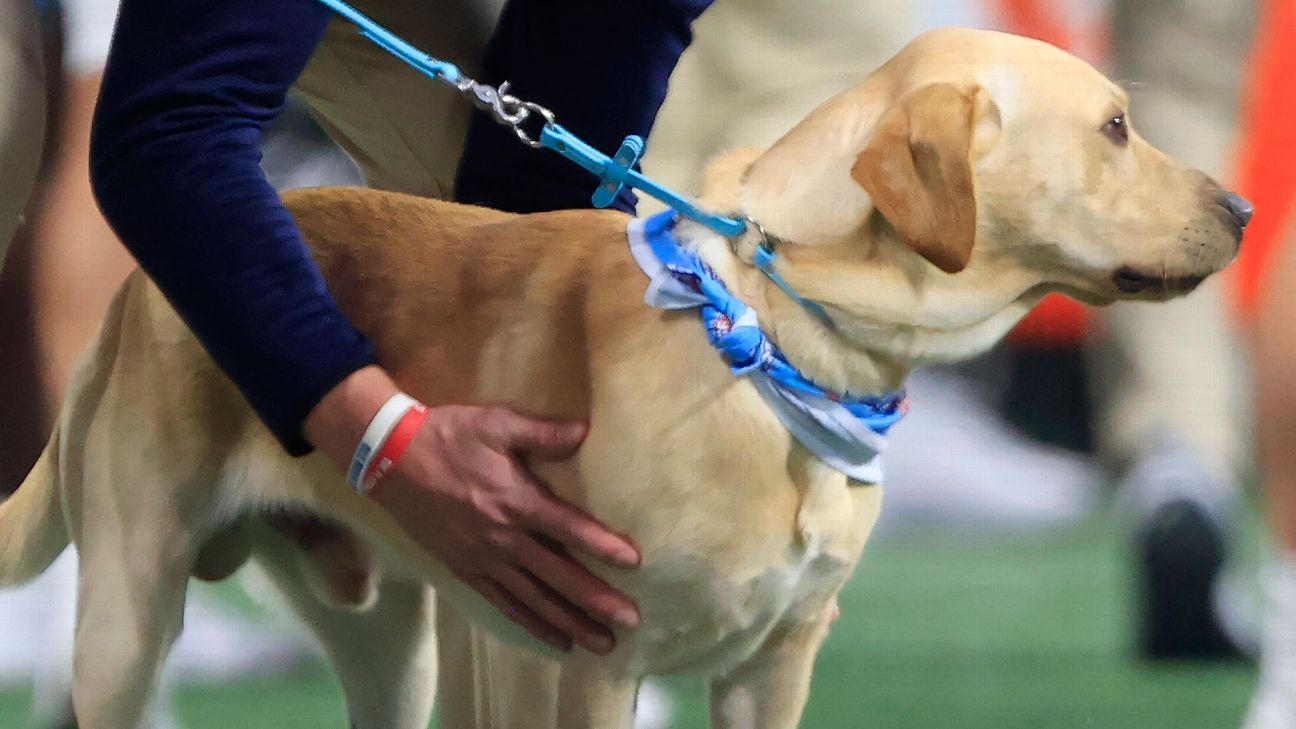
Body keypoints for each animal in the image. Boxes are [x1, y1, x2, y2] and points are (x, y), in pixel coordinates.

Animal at [2, 26, 1254, 726]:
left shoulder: (776, 663)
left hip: (391, 637)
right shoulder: (600, 662)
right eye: (1116, 127)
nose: (1246, 207)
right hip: (129, 610)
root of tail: (139, 285)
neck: (773, 341)